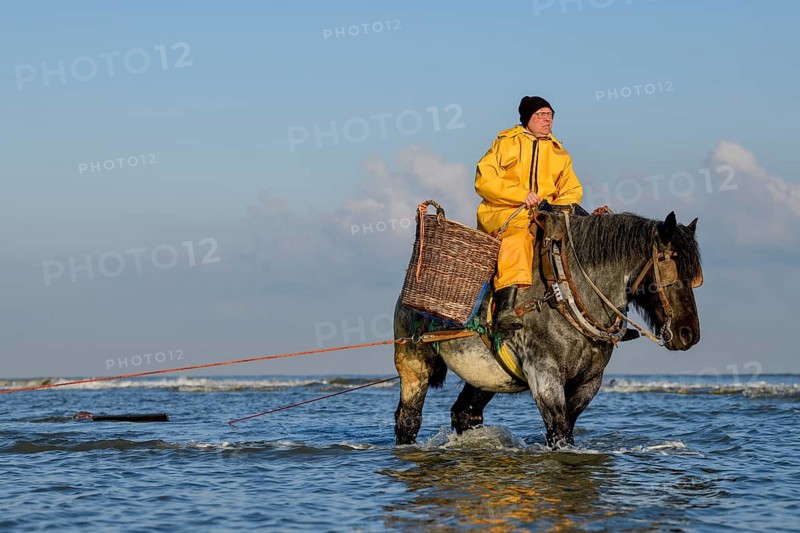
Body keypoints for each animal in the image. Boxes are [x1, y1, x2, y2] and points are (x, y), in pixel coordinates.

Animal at [393, 208, 702, 447]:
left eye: (694, 277)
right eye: (671, 269)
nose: (689, 334)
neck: (566, 294)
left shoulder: (590, 381)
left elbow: (567, 428)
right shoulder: (544, 376)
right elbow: (559, 432)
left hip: (485, 376)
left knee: (465, 413)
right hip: (413, 365)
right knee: (408, 419)